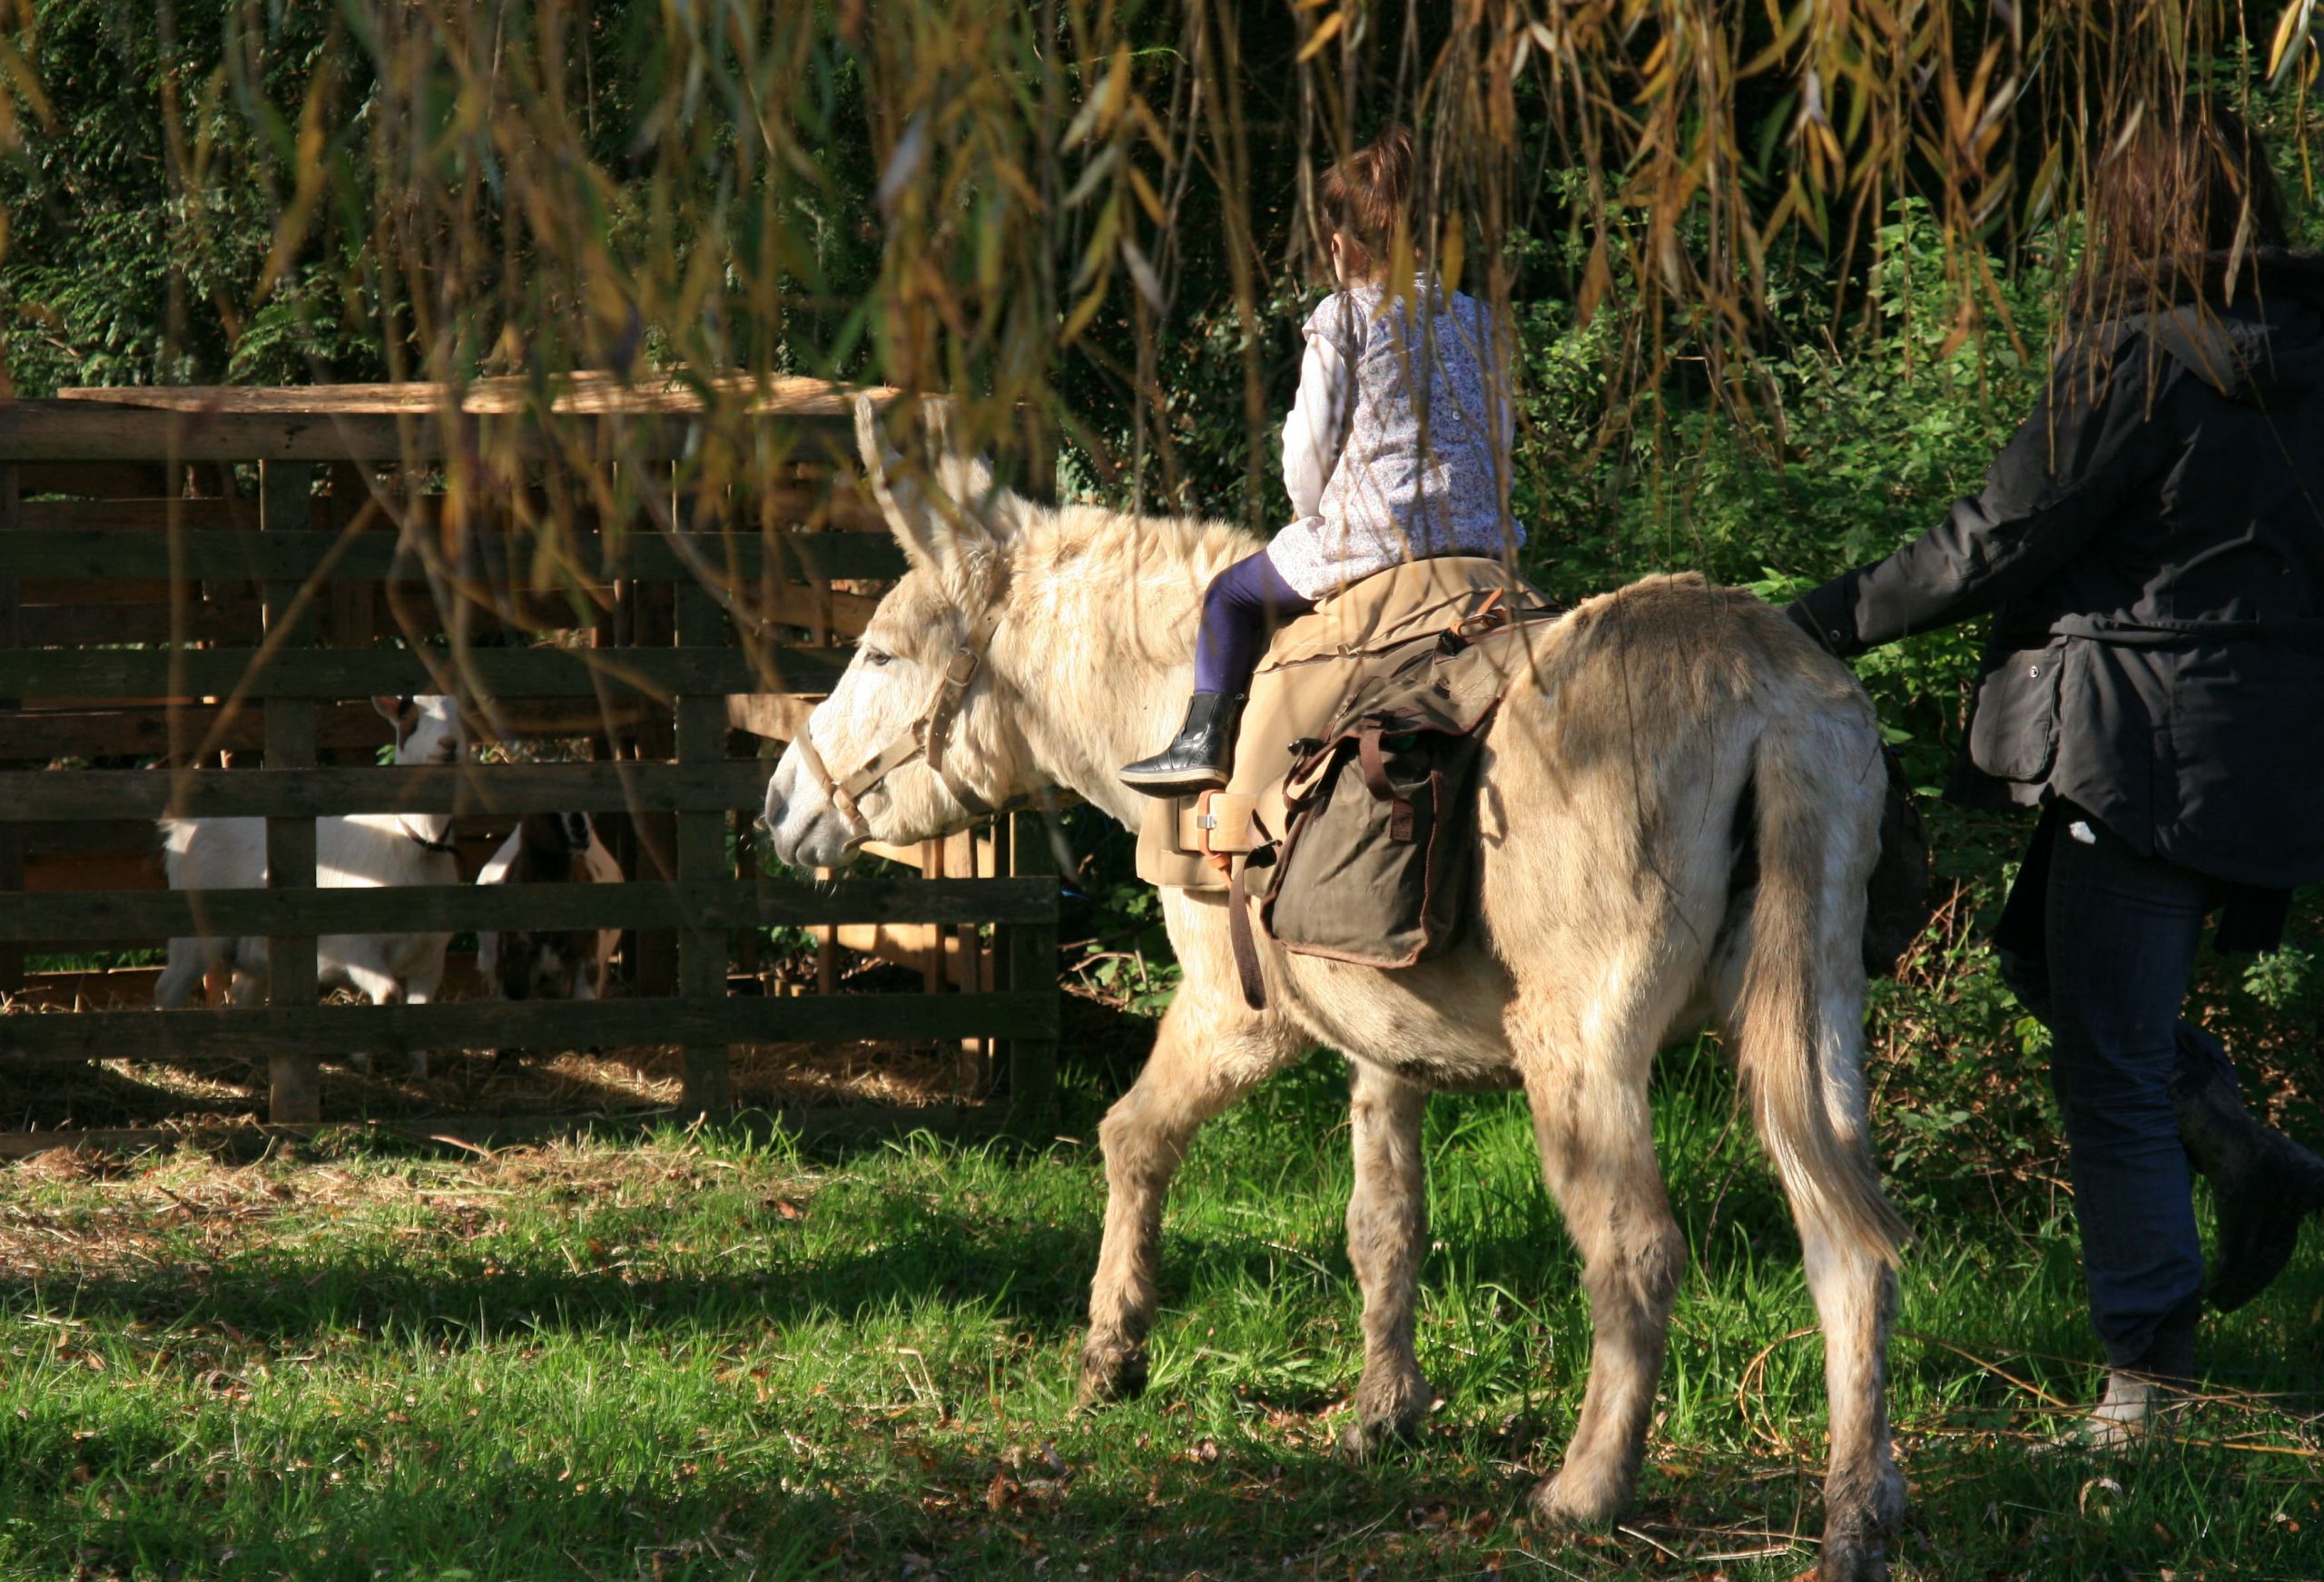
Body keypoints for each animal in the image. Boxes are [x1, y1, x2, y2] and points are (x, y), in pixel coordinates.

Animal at [155, 701, 467, 1073]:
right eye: (411, 720)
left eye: (462, 718)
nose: (450, 744)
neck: (413, 846)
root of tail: (183, 828)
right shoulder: (357, 947)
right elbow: (388, 994)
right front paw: (362, 1059)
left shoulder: (431, 956)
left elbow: (422, 1013)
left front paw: (418, 1072)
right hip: (197, 932)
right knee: (169, 986)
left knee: (244, 992)